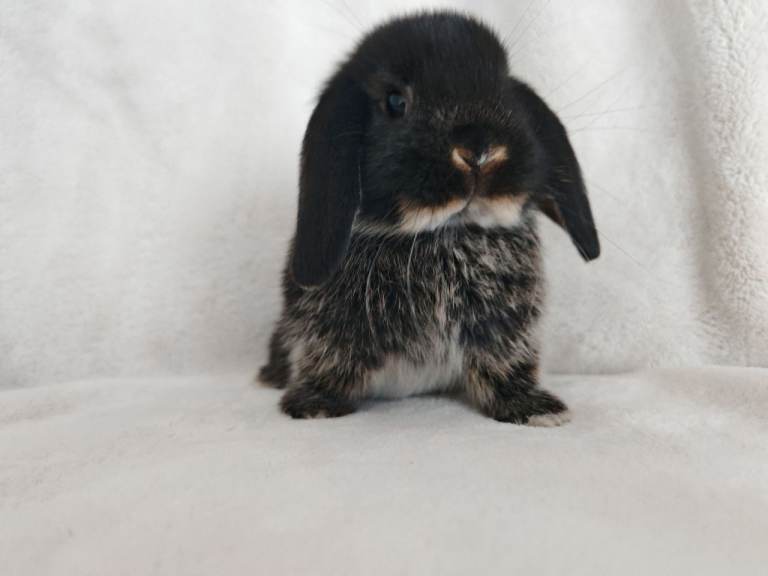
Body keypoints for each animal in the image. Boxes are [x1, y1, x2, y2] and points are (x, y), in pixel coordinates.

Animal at [258, 11, 599, 425]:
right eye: (395, 101)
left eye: (504, 90)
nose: (478, 149)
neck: (442, 232)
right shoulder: (329, 329)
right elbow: (327, 361)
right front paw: (315, 405)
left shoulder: (503, 331)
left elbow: (505, 365)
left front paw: (534, 408)